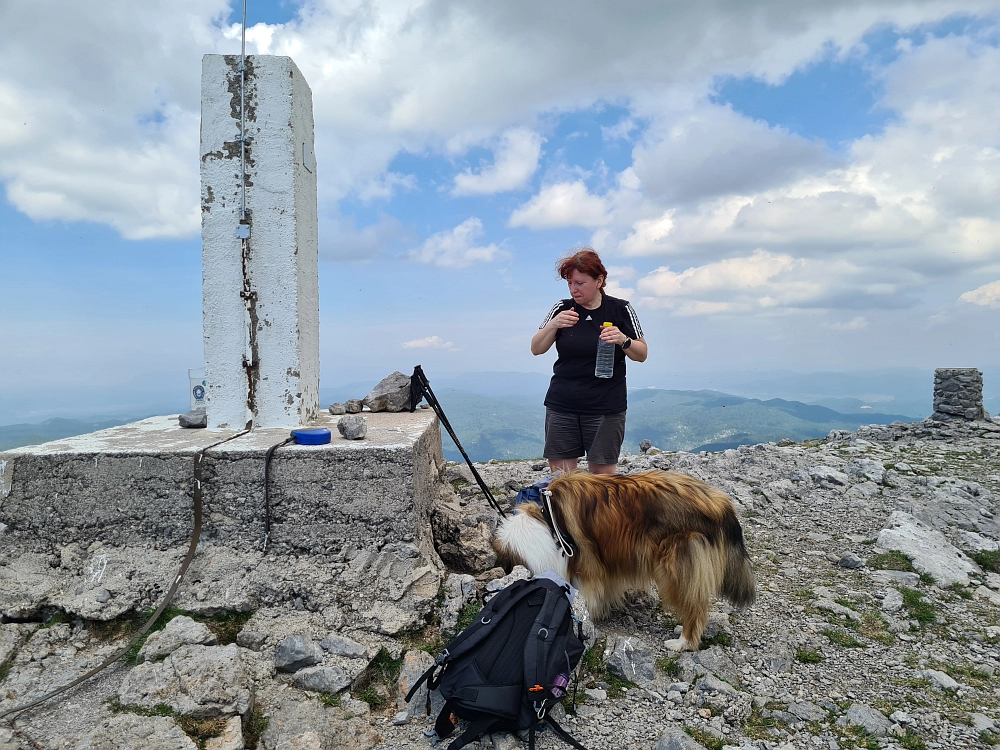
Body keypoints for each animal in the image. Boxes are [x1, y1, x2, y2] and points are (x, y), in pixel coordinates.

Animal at [492, 470, 756, 652]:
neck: (549, 525)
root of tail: (721, 503)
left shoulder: (586, 564)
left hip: (675, 566)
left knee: (696, 608)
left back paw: (682, 642)